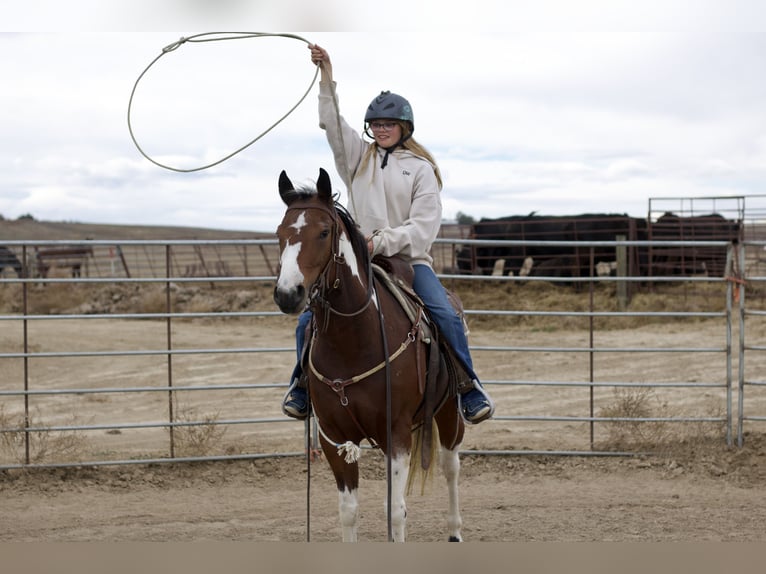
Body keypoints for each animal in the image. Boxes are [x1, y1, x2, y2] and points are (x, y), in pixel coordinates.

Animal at [273, 168, 466, 542]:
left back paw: (454, 532)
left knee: (451, 466)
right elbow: (349, 512)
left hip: (450, 409)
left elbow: (395, 512)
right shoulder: (333, 436)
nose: (288, 294)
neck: (353, 341)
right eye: (279, 233)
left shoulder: (397, 432)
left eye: (324, 232)